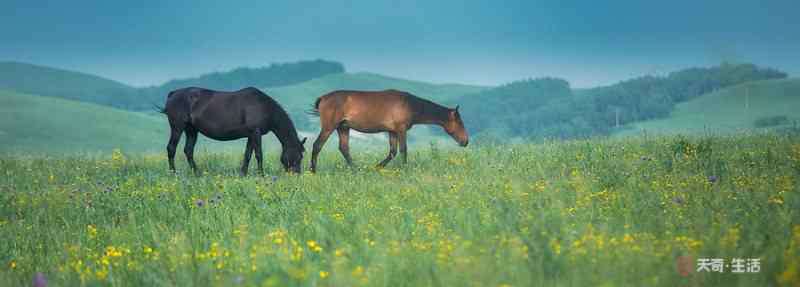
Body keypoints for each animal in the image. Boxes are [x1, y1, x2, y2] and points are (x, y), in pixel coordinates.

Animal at [159, 86, 306, 176]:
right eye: (299, 156)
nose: (297, 174)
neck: (264, 106)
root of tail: (172, 94)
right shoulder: (256, 132)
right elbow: (259, 154)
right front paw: (261, 174)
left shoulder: (251, 135)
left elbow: (248, 155)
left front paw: (243, 174)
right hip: (177, 128)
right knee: (171, 148)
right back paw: (173, 173)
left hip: (191, 130)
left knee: (188, 151)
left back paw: (197, 173)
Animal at [306, 89, 468, 173]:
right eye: (460, 122)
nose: (465, 141)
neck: (410, 104)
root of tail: (323, 98)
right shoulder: (401, 130)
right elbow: (403, 150)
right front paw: (405, 169)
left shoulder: (392, 132)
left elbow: (392, 152)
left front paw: (377, 167)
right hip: (329, 127)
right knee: (317, 145)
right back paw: (313, 170)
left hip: (343, 128)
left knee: (344, 148)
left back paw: (357, 169)